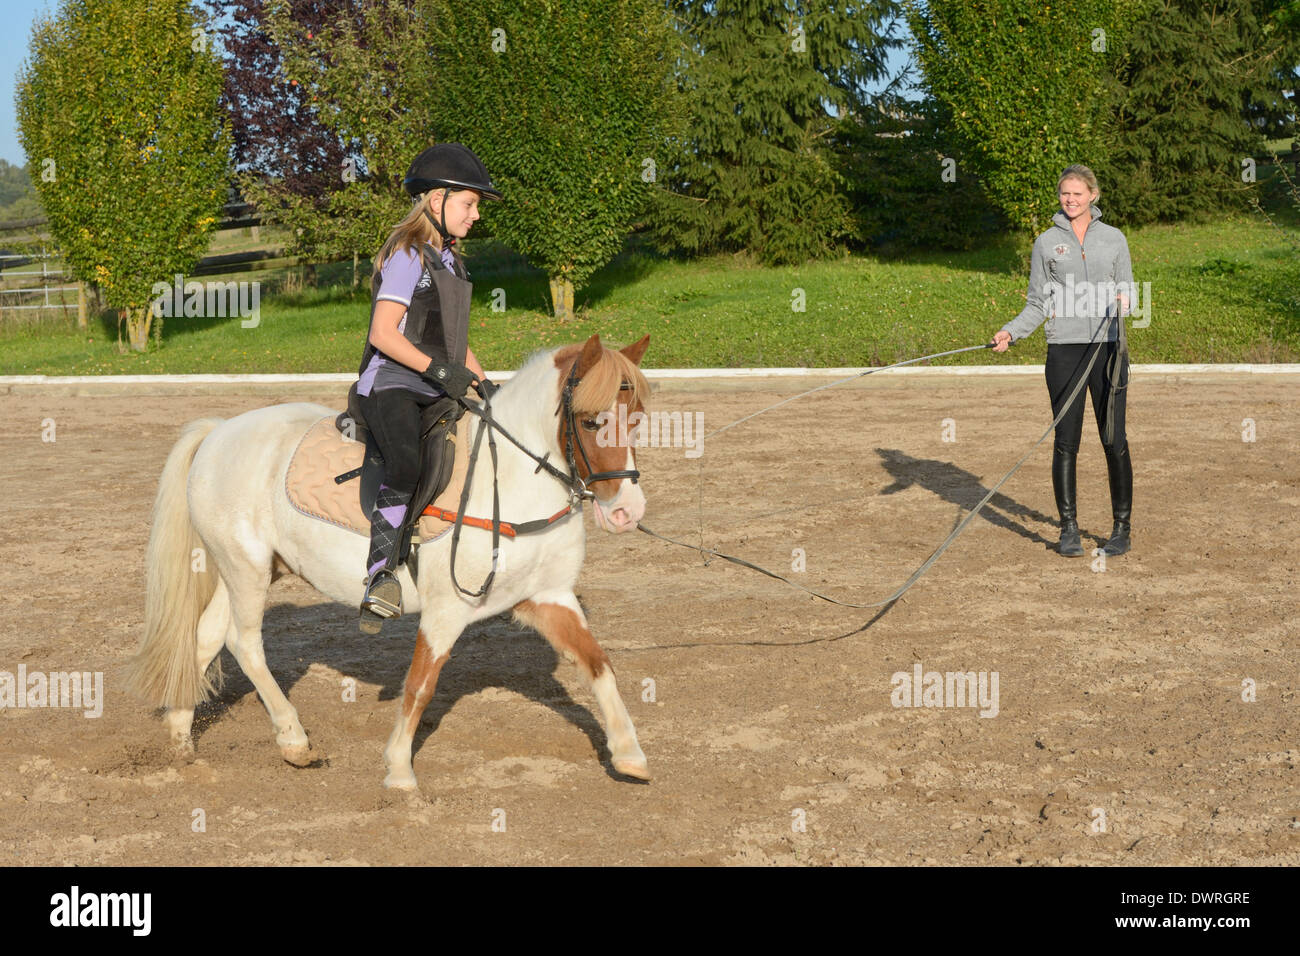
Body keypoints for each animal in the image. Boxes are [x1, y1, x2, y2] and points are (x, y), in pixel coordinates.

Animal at [125, 333, 653, 789]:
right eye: (591, 421)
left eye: (638, 420)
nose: (627, 512)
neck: (510, 480)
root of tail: (218, 433)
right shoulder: (447, 611)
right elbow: (420, 685)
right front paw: (399, 771)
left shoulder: (547, 597)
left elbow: (599, 665)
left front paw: (630, 753)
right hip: (246, 569)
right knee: (243, 641)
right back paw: (294, 741)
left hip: (246, 570)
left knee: (207, 635)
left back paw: (181, 739)